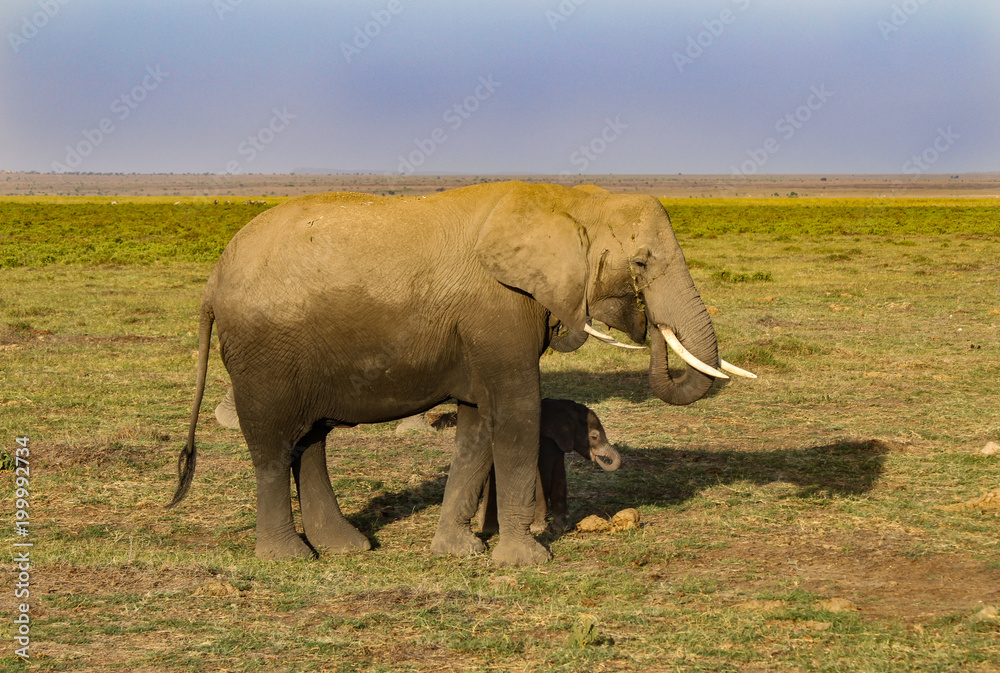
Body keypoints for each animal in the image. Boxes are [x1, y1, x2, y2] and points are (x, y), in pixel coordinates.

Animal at [477, 399, 618, 535]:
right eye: (594, 437)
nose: (598, 458)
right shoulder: (542, 442)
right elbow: (543, 479)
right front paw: (538, 529)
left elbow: (559, 477)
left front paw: (564, 528)